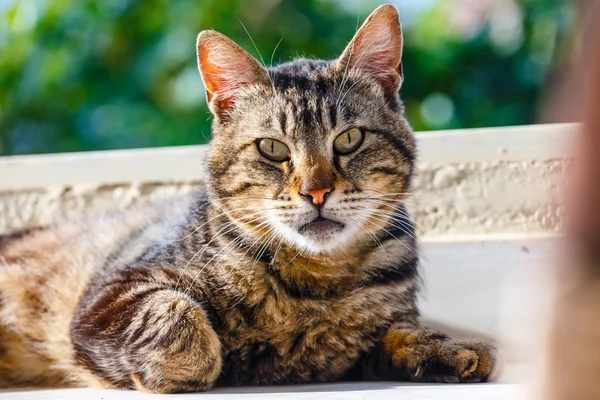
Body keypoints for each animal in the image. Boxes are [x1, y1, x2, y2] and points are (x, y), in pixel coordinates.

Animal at [0, 4, 496, 394]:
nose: (316, 190)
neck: (316, 284)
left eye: (349, 138)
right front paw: (200, 362)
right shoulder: (107, 297)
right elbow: (181, 320)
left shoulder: (363, 342)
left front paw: (447, 347)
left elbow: (397, 332)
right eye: (272, 148)